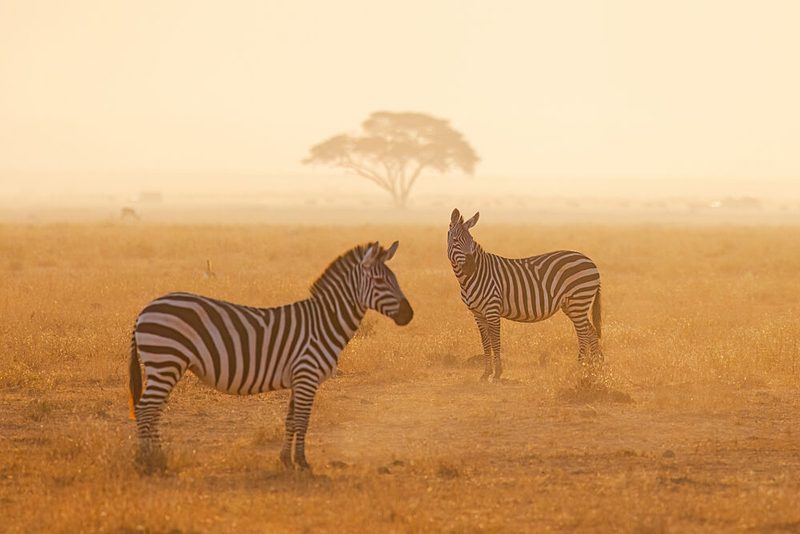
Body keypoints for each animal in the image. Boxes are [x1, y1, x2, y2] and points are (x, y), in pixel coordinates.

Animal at [128, 241, 413, 471]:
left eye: (395, 278)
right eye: (381, 282)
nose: (409, 315)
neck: (324, 323)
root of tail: (145, 309)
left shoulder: (299, 379)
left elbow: (290, 421)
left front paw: (286, 460)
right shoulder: (307, 375)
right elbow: (303, 421)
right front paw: (302, 463)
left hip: (165, 365)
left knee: (153, 411)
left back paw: (157, 457)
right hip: (166, 361)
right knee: (145, 409)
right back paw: (148, 461)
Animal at [447, 209, 602, 381]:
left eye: (471, 240)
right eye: (455, 240)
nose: (471, 266)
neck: (473, 276)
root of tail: (590, 261)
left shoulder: (492, 310)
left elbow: (495, 341)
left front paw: (497, 373)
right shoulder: (478, 314)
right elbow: (486, 343)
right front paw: (486, 373)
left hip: (579, 301)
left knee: (583, 334)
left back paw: (580, 368)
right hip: (572, 305)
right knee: (591, 332)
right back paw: (593, 369)